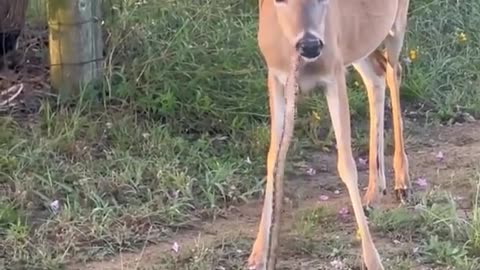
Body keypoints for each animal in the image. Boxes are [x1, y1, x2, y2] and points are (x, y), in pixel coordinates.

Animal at [248, 0, 412, 270]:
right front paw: (258, 253)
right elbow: (273, 159)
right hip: (359, 44)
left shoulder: (334, 73)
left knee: (393, 70)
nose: (310, 44)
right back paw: (374, 191)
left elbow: (346, 164)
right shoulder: (276, 77)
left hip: (396, 22)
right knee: (376, 74)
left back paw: (402, 181)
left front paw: (373, 260)